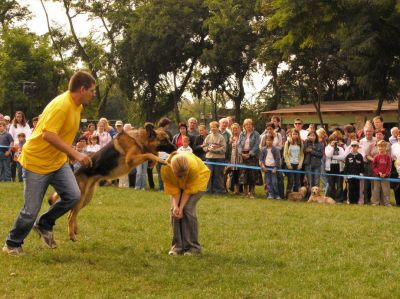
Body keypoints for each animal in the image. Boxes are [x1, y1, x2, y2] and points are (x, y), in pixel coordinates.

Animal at [48, 123, 177, 243]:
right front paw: (159, 160)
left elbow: (151, 154)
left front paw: (154, 162)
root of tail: (75, 173)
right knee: (70, 216)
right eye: (164, 140)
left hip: (86, 198)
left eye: (169, 139)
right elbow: (149, 154)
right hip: (81, 198)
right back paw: (72, 235)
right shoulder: (131, 159)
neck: (139, 140)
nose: (175, 148)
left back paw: (75, 230)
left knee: (72, 213)